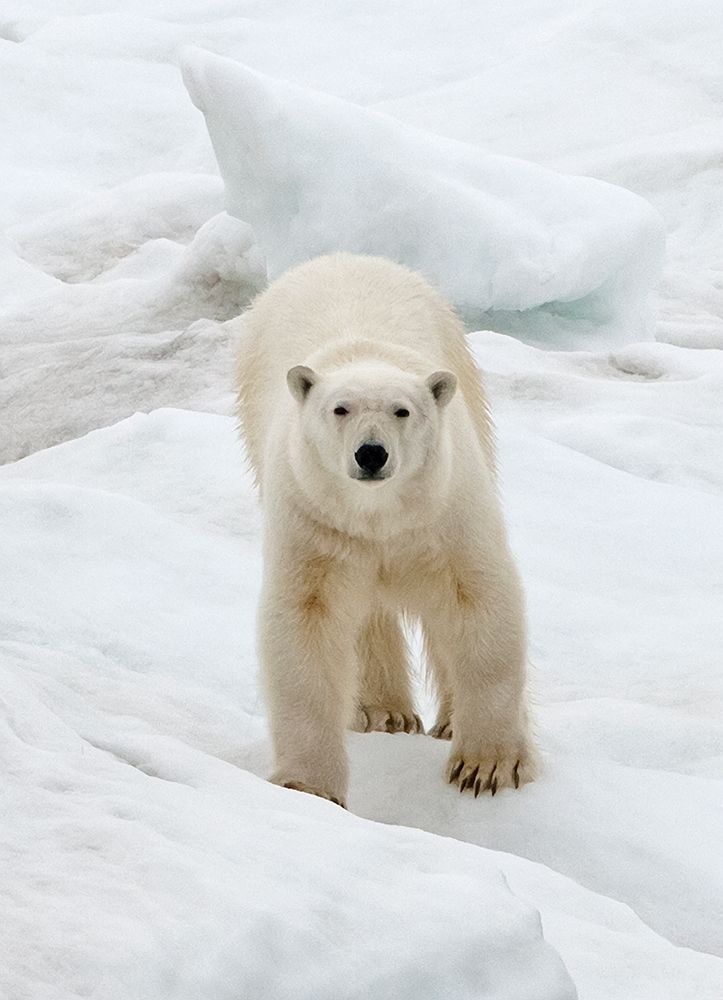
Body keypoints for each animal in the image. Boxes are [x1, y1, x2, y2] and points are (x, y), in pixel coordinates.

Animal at [236, 253, 538, 808]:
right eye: (340, 409)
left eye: (403, 410)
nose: (371, 453)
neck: (382, 518)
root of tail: (341, 256)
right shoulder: (315, 524)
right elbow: (306, 624)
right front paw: (308, 785)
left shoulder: (445, 511)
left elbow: (478, 600)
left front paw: (486, 765)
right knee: (368, 617)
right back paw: (384, 711)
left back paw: (444, 720)